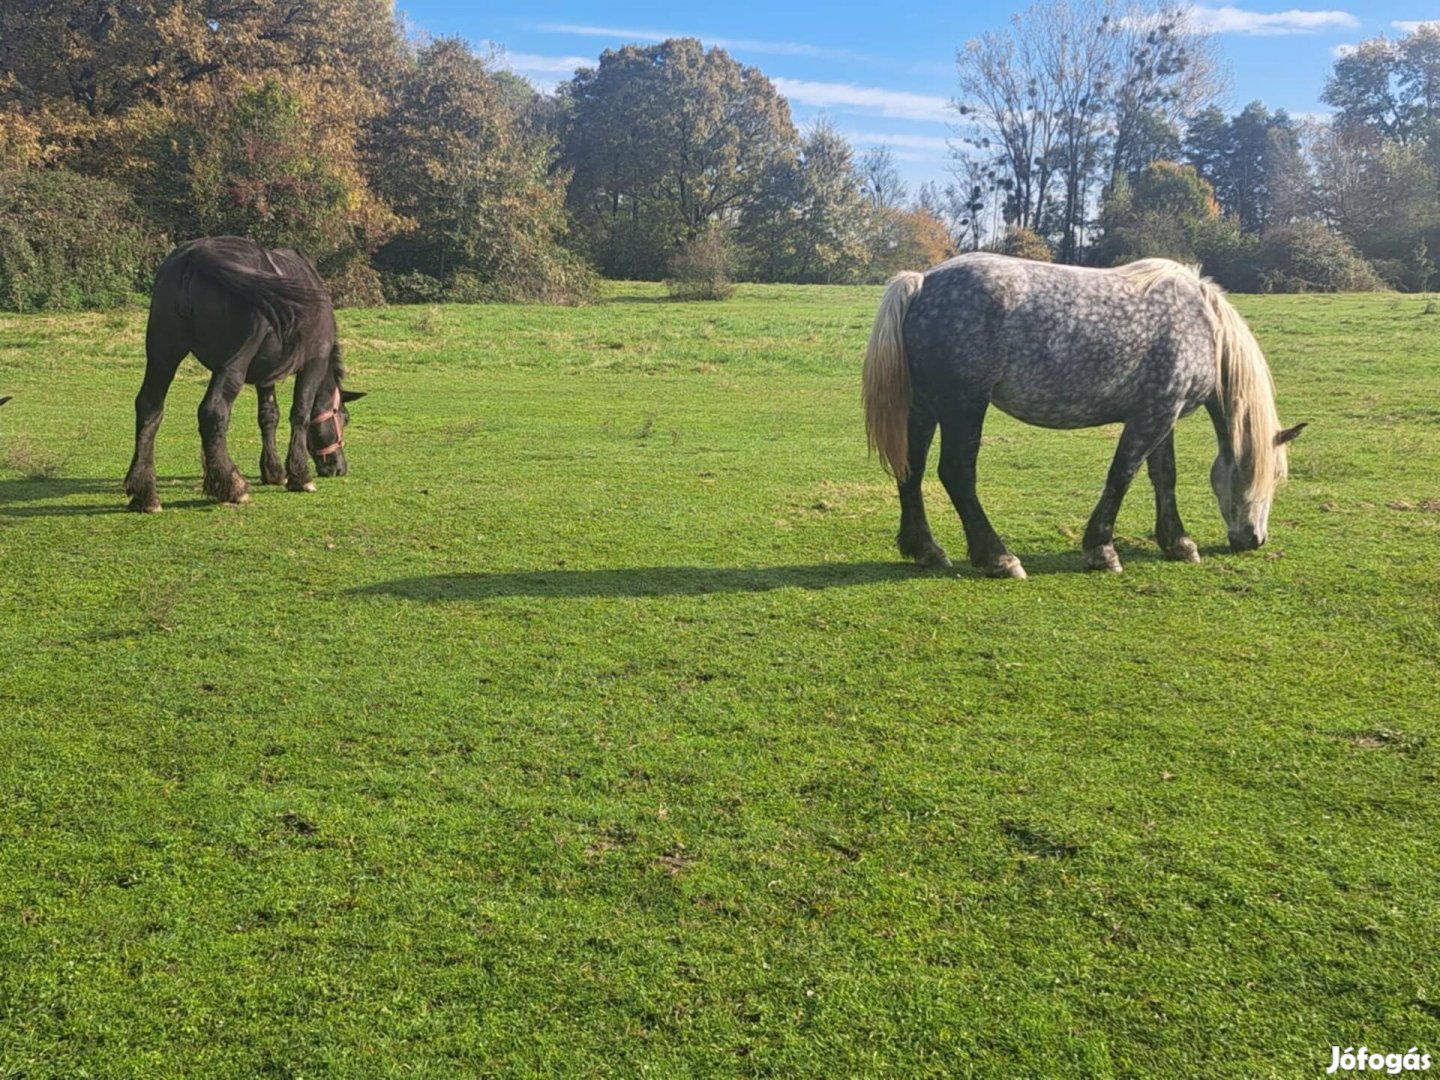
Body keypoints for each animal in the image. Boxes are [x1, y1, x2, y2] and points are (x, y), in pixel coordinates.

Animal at [123, 234, 365, 512]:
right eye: (344, 418)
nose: (339, 468)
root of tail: (197, 255)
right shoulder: (313, 364)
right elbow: (300, 414)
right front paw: (299, 475)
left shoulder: (266, 375)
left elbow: (269, 415)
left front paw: (273, 471)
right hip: (232, 363)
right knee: (214, 410)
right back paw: (232, 485)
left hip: (162, 356)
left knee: (149, 407)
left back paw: (144, 493)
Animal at [864, 254, 1307, 578]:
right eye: (1272, 475)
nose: (1254, 539)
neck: (1204, 328)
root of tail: (921, 283)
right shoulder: (1154, 416)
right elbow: (1122, 475)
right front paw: (1102, 550)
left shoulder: (1162, 413)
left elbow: (1164, 477)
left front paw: (1178, 542)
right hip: (964, 407)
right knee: (956, 474)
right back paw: (998, 558)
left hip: (926, 407)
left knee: (912, 470)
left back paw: (926, 549)